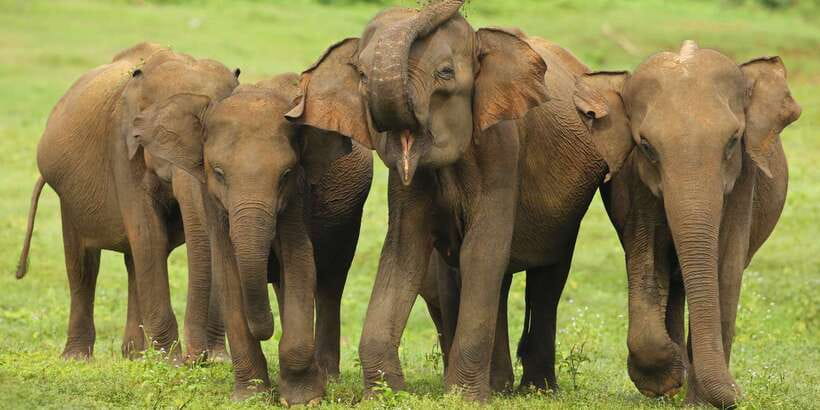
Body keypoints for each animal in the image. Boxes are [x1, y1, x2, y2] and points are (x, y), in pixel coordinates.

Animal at [16, 43, 239, 361]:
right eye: (161, 139)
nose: (197, 359)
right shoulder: (121, 145)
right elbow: (149, 234)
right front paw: (171, 362)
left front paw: (217, 361)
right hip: (68, 197)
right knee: (84, 265)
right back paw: (79, 358)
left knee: (134, 261)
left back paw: (134, 355)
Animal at [129, 73, 372, 405]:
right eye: (219, 173)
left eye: (286, 174)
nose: (265, 329)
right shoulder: (212, 201)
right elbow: (229, 274)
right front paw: (251, 397)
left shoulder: (297, 196)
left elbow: (299, 262)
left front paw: (303, 400)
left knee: (329, 284)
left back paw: (327, 377)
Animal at [287, 1, 624, 400]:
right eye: (362, 76)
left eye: (445, 73)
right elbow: (403, 250)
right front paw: (387, 394)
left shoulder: (502, 150)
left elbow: (482, 250)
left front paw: (463, 396)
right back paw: (500, 386)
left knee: (546, 279)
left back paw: (535, 390)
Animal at [576, 41, 801, 407]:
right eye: (646, 146)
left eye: (733, 140)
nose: (740, 391)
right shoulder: (637, 184)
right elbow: (647, 261)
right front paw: (666, 378)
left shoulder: (743, 182)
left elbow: (726, 270)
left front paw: (700, 402)